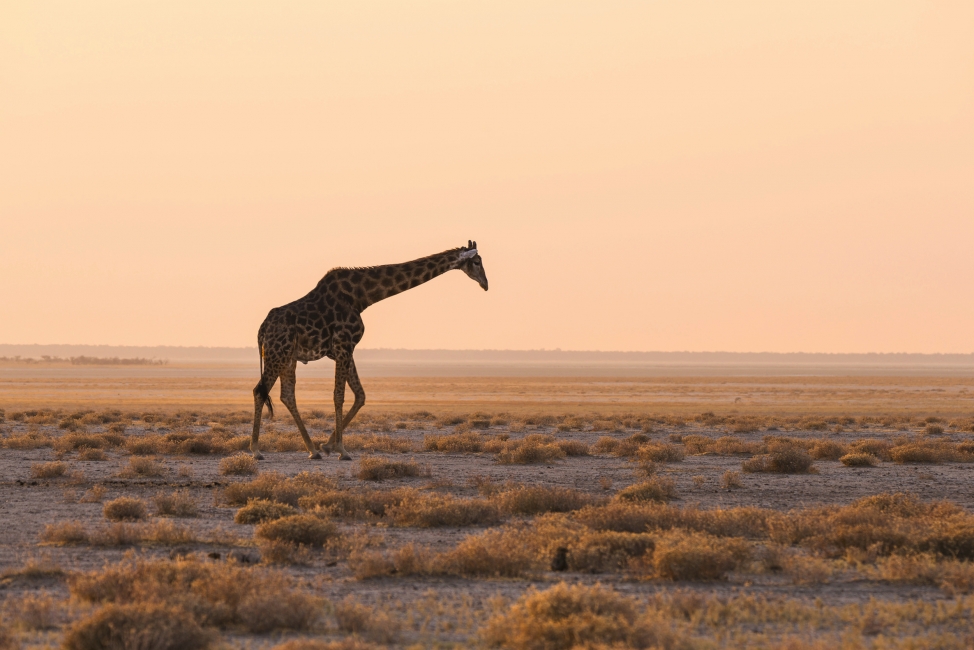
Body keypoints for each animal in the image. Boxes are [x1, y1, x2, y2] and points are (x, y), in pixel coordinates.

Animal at [251, 241, 488, 461]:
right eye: (477, 262)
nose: (485, 284)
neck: (361, 296)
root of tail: (262, 329)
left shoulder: (344, 350)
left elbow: (360, 395)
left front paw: (327, 446)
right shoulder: (344, 345)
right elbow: (339, 395)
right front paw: (342, 450)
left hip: (287, 357)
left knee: (287, 395)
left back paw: (312, 450)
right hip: (277, 353)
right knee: (260, 391)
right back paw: (256, 450)